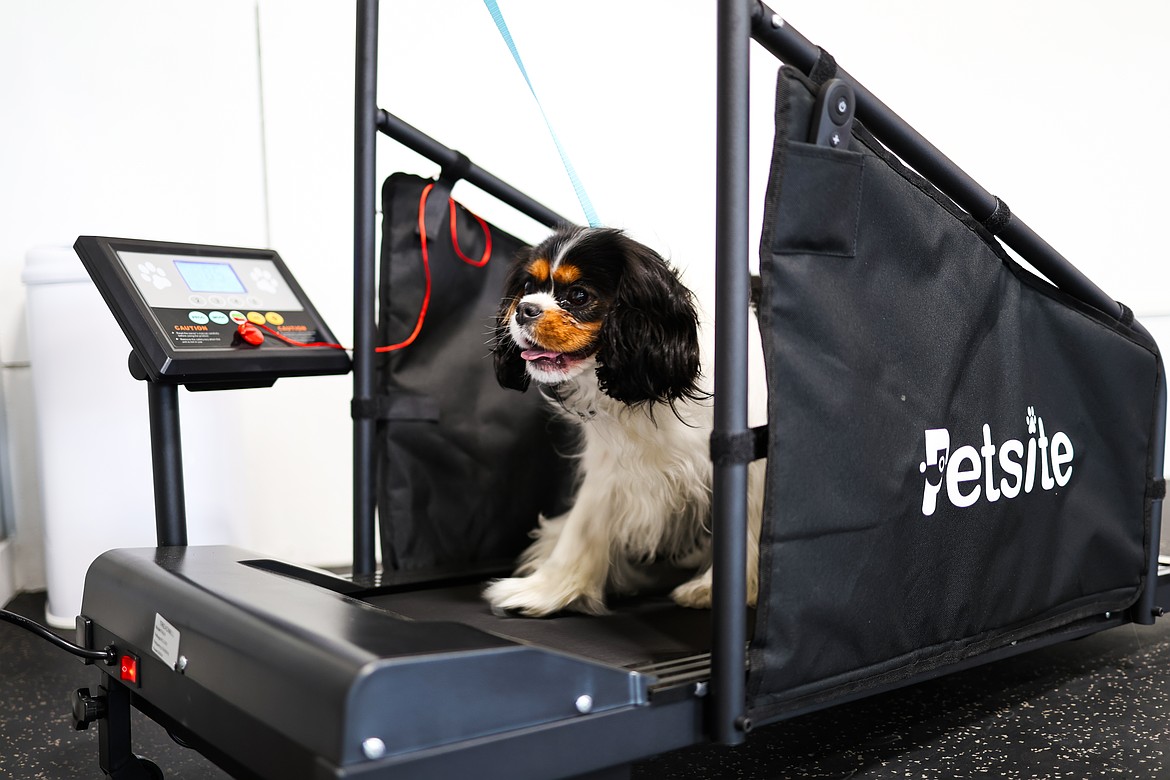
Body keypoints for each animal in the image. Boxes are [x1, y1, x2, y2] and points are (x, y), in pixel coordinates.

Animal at [479, 225, 762, 617]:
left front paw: (711, 589)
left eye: (579, 296)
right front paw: (543, 590)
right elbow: (584, 526)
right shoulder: (611, 466)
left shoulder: (748, 465)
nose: (524, 309)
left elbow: (746, 522)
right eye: (527, 287)